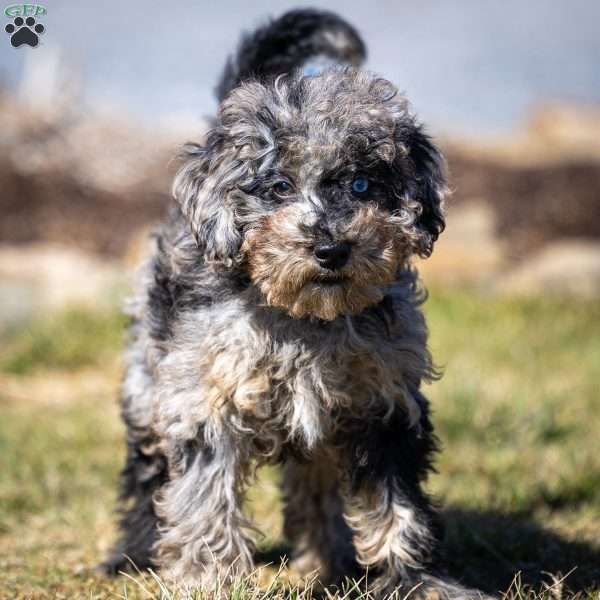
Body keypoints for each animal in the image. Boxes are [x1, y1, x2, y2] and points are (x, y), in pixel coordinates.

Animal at [103, 9, 488, 600]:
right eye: (279, 186)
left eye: (361, 184)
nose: (330, 250)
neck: (307, 318)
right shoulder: (205, 398)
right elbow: (204, 498)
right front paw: (209, 580)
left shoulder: (385, 402)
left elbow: (400, 508)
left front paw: (417, 582)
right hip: (150, 375)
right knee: (148, 472)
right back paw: (135, 554)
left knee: (314, 482)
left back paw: (325, 561)